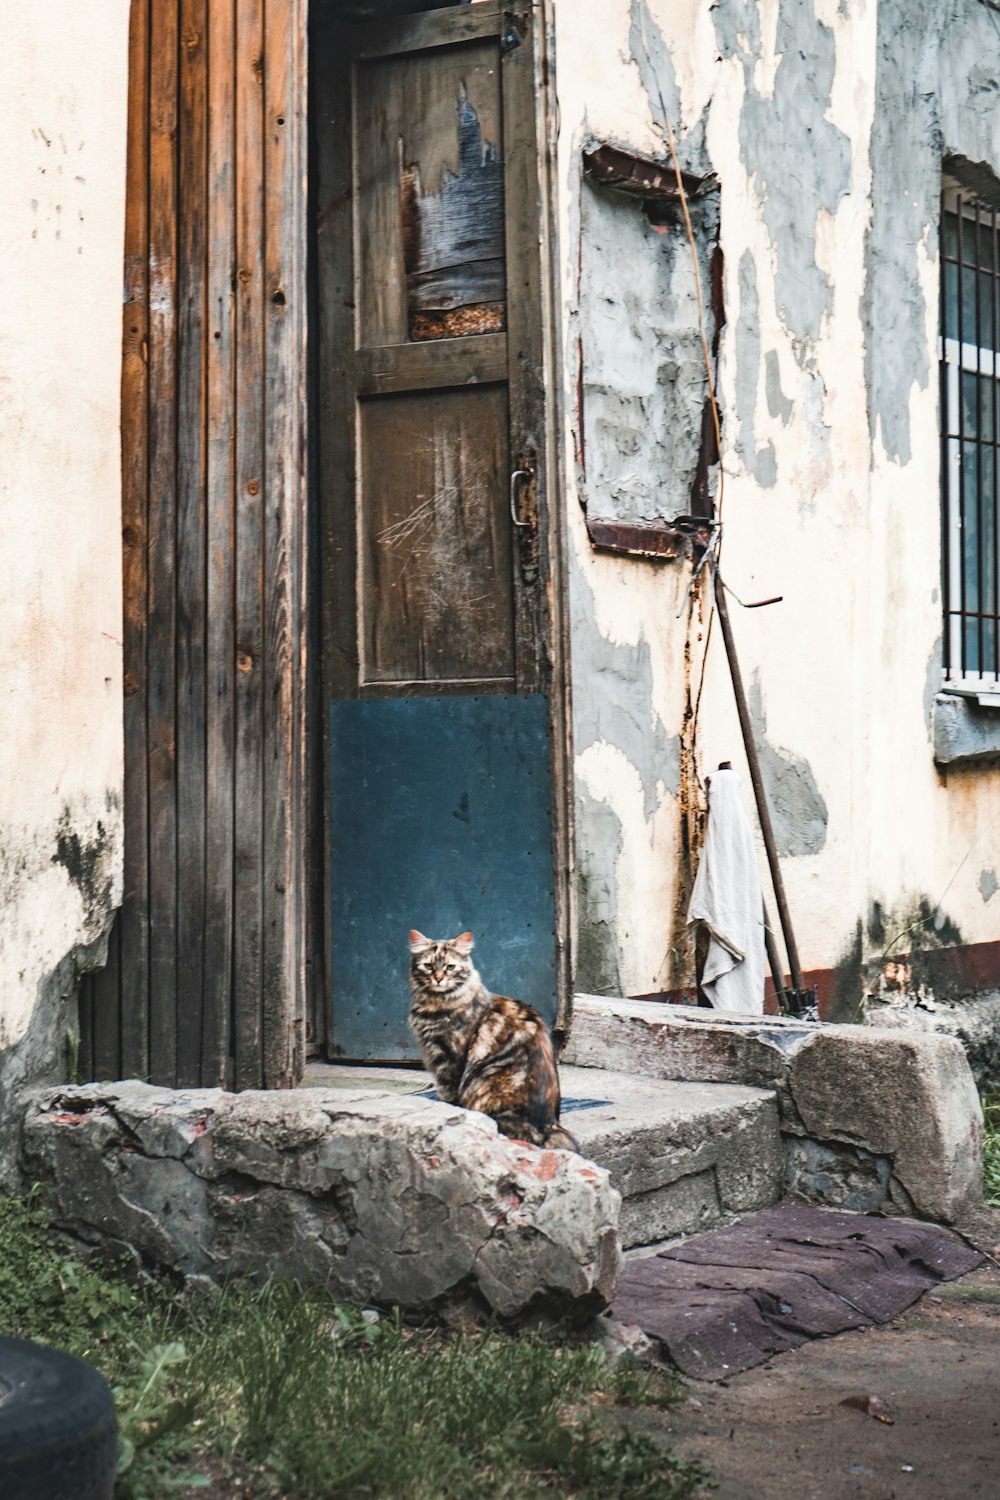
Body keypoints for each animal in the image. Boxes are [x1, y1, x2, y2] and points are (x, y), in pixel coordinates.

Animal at [407, 930, 578, 1152]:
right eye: (428, 966)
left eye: (450, 967)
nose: (438, 979)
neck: (434, 1004)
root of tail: (547, 1124)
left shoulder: (449, 1058)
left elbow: (447, 1095)